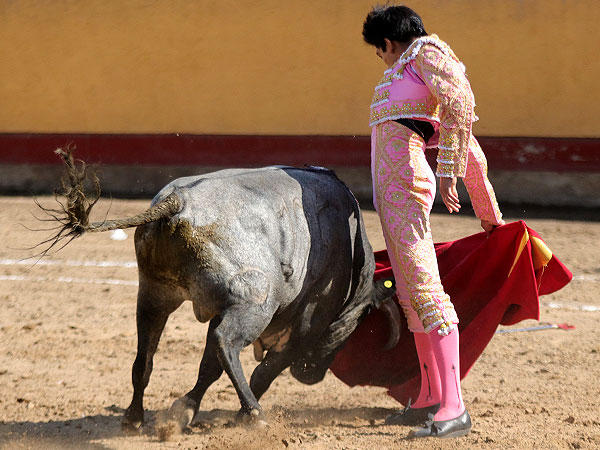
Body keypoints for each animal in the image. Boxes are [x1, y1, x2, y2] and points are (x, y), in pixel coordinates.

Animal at [39, 149, 400, 432]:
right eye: (361, 321)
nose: (312, 376)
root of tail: (178, 202)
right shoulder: (308, 323)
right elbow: (266, 368)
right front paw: (236, 413)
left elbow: (208, 366)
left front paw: (184, 410)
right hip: (253, 305)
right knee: (226, 344)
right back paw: (255, 414)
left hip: (154, 294)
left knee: (146, 358)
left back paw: (134, 419)